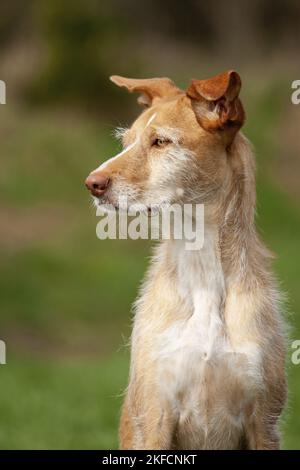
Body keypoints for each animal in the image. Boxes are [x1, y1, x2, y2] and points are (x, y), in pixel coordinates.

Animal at [85, 71, 288, 450]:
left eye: (161, 141)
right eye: (126, 141)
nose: (92, 183)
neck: (201, 267)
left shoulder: (265, 420)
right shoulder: (154, 416)